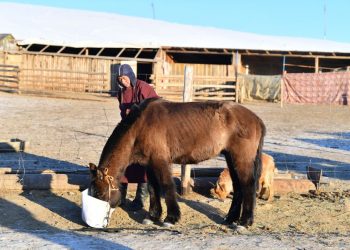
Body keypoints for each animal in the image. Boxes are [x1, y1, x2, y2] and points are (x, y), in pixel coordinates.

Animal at [89, 97, 266, 227]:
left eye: (99, 193)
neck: (140, 126)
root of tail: (257, 119)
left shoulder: (160, 161)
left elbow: (166, 186)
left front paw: (171, 218)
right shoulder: (150, 164)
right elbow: (153, 188)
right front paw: (152, 216)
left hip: (241, 160)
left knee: (248, 186)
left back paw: (244, 222)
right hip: (231, 158)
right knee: (238, 187)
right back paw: (230, 219)